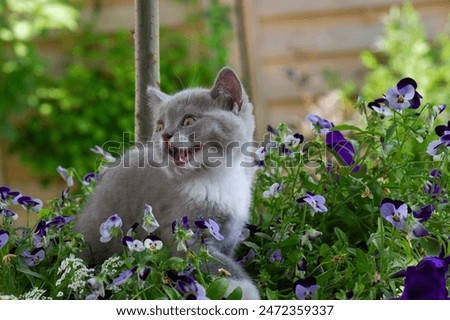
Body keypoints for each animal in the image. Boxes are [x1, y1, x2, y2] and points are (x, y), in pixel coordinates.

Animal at [75, 67, 260, 300]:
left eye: (189, 121)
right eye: (160, 126)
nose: (165, 135)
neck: (218, 177)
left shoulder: (230, 234)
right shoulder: (185, 237)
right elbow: (221, 267)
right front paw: (249, 293)